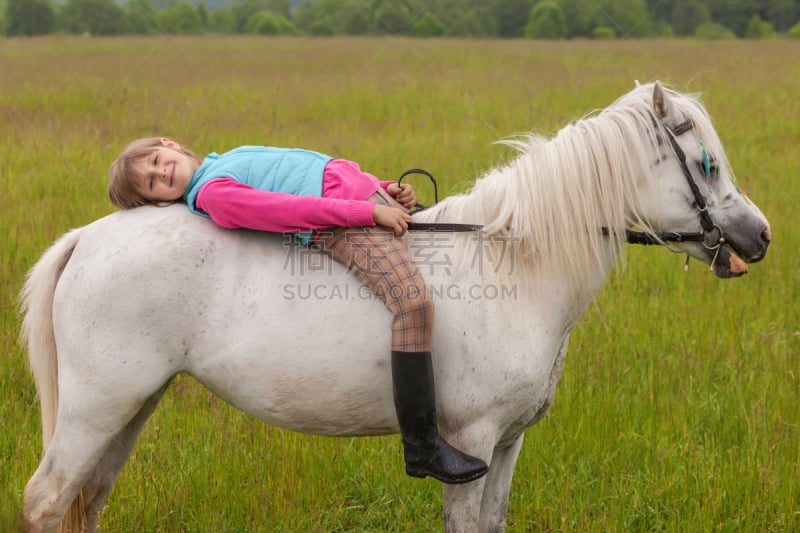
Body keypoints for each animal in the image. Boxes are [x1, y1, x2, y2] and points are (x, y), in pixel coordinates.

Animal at [18, 81, 768, 528]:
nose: (758, 237)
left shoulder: (509, 442)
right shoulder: (471, 442)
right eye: (706, 165)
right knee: (48, 498)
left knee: (86, 499)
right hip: (97, 405)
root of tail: (89, 238)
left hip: (131, 405)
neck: (512, 266)